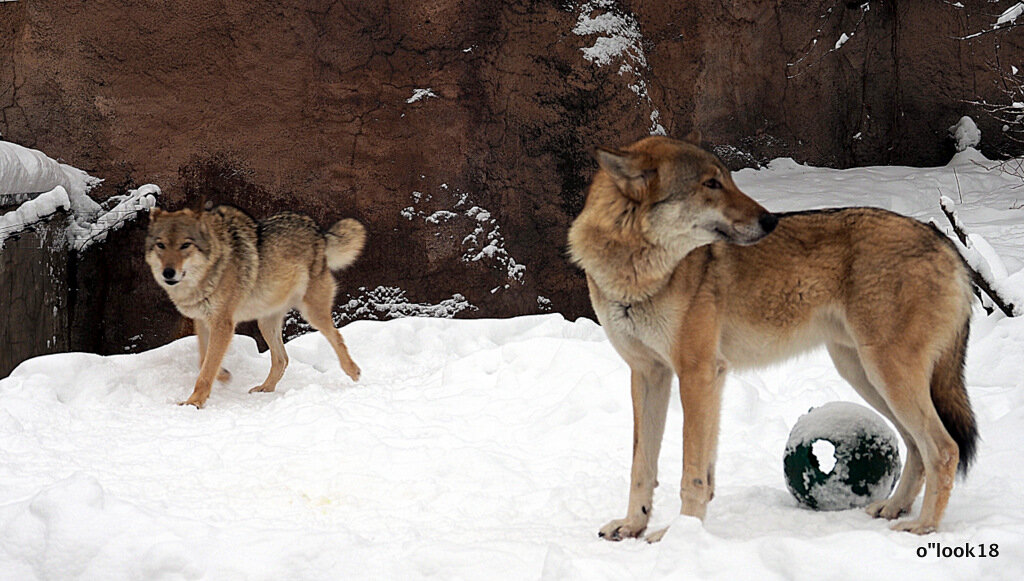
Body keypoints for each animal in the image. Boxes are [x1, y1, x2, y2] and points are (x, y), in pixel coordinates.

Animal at [144, 204, 366, 409]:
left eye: (185, 245)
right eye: (161, 245)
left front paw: (194, 403)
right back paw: (265, 388)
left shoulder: (223, 324)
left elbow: (206, 369)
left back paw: (354, 372)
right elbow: (203, 360)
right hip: (265, 323)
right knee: (282, 359)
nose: (168, 272)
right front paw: (223, 375)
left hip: (311, 313)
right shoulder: (202, 320)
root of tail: (319, 231)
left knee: (336, 337)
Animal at [569, 133, 974, 541]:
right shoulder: (650, 374)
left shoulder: (698, 374)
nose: (771, 220)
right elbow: (644, 465)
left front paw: (680, 534)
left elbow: (692, 473)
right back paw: (894, 508)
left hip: (885, 373)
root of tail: (945, 244)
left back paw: (923, 526)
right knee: (916, 446)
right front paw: (633, 525)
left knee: (944, 448)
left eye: (727, 180)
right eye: (711, 184)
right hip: (863, 373)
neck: (640, 276)